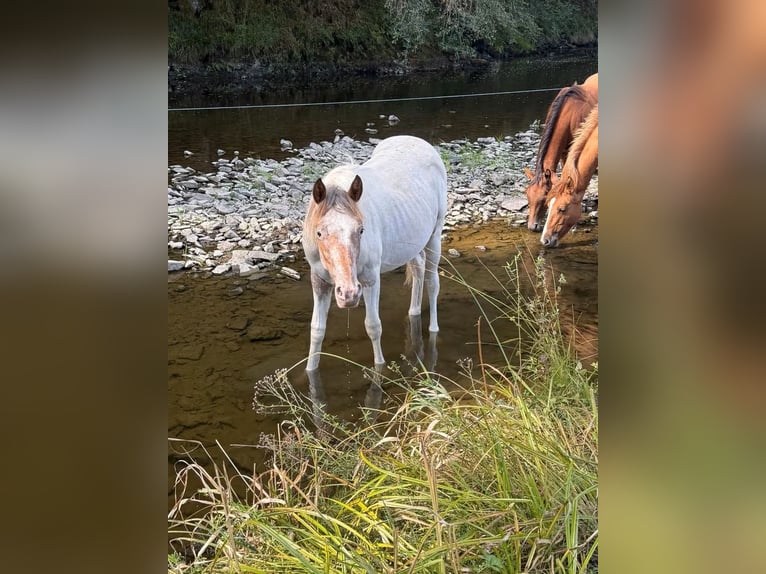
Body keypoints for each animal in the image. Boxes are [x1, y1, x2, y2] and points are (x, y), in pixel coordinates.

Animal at [302, 135, 448, 371]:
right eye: (319, 233)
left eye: (361, 230)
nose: (348, 294)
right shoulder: (319, 280)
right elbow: (317, 330)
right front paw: (310, 370)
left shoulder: (370, 278)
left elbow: (373, 326)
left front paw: (379, 367)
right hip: (412, 240)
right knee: (418, 268)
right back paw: (414, 311)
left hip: (435, 235)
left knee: (432, 281)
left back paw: (433, 329)